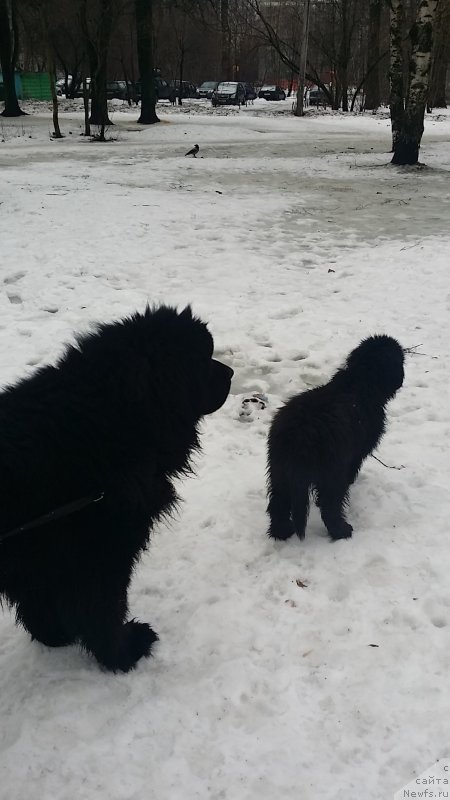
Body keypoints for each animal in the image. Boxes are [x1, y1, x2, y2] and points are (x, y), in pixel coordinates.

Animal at [0, 304, 232, 668]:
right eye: (205, 359)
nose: (232, 373)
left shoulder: (42, 562)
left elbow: (38, 603)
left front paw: (54, 635)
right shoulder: (101, 553)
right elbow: (104, 611)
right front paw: (123, 652)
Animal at [268, 338, 404, 544]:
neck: (360, 384)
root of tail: (299, 434)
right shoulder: (355, 454)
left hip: (279, 469)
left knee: (278, 502)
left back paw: (281, 532)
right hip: (331, 471)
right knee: (329, 504)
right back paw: (341, 530)